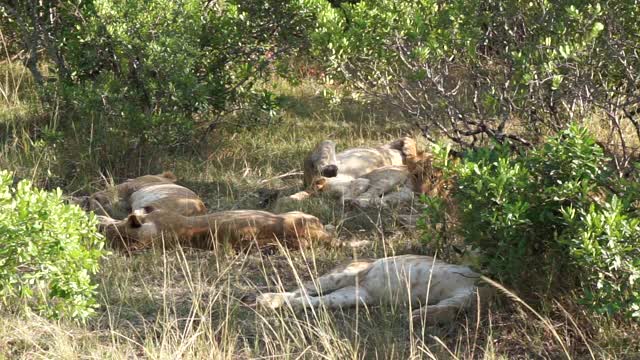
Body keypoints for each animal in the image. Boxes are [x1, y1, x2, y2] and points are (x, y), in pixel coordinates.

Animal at [255, 255, 496, 324]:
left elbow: (449, 307)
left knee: (309, 300)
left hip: (353, 296)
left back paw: (284, 305)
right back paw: (267, 299)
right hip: (344, 274)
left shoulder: (462, 297)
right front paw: (417, 316)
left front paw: (420, 316)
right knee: (300, 290)